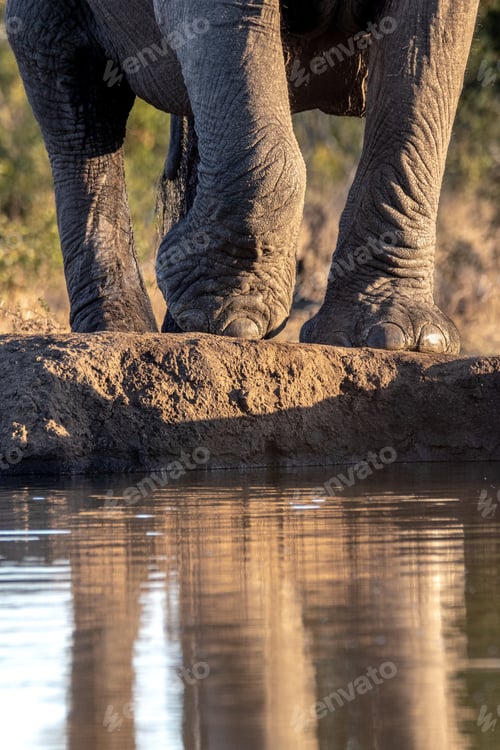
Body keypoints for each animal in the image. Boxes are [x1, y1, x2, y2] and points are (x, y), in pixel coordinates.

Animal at [6, 0, 480, 352]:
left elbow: (427, 52)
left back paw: (180, 326)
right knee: (76, 93)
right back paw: (122, 330)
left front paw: (397, 339)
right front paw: (230, 318)